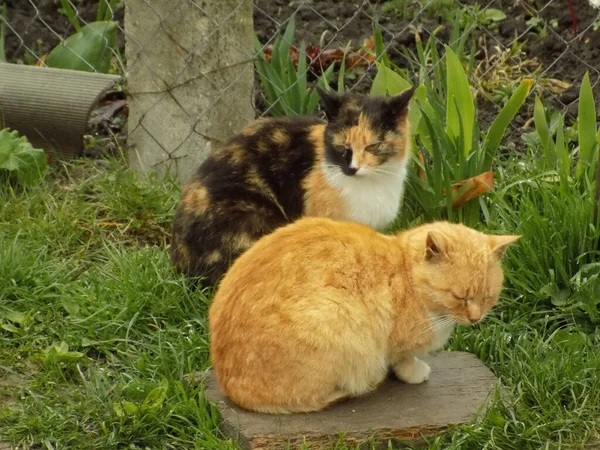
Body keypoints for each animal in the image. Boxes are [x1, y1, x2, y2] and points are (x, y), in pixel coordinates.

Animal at [209, 218, 516, 414]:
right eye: (460, 297)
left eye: (487, 297)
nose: (476, 318)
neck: (405, 272)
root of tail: (230, 388)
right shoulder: (398, 344)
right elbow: (404, 360)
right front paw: (414, 372)